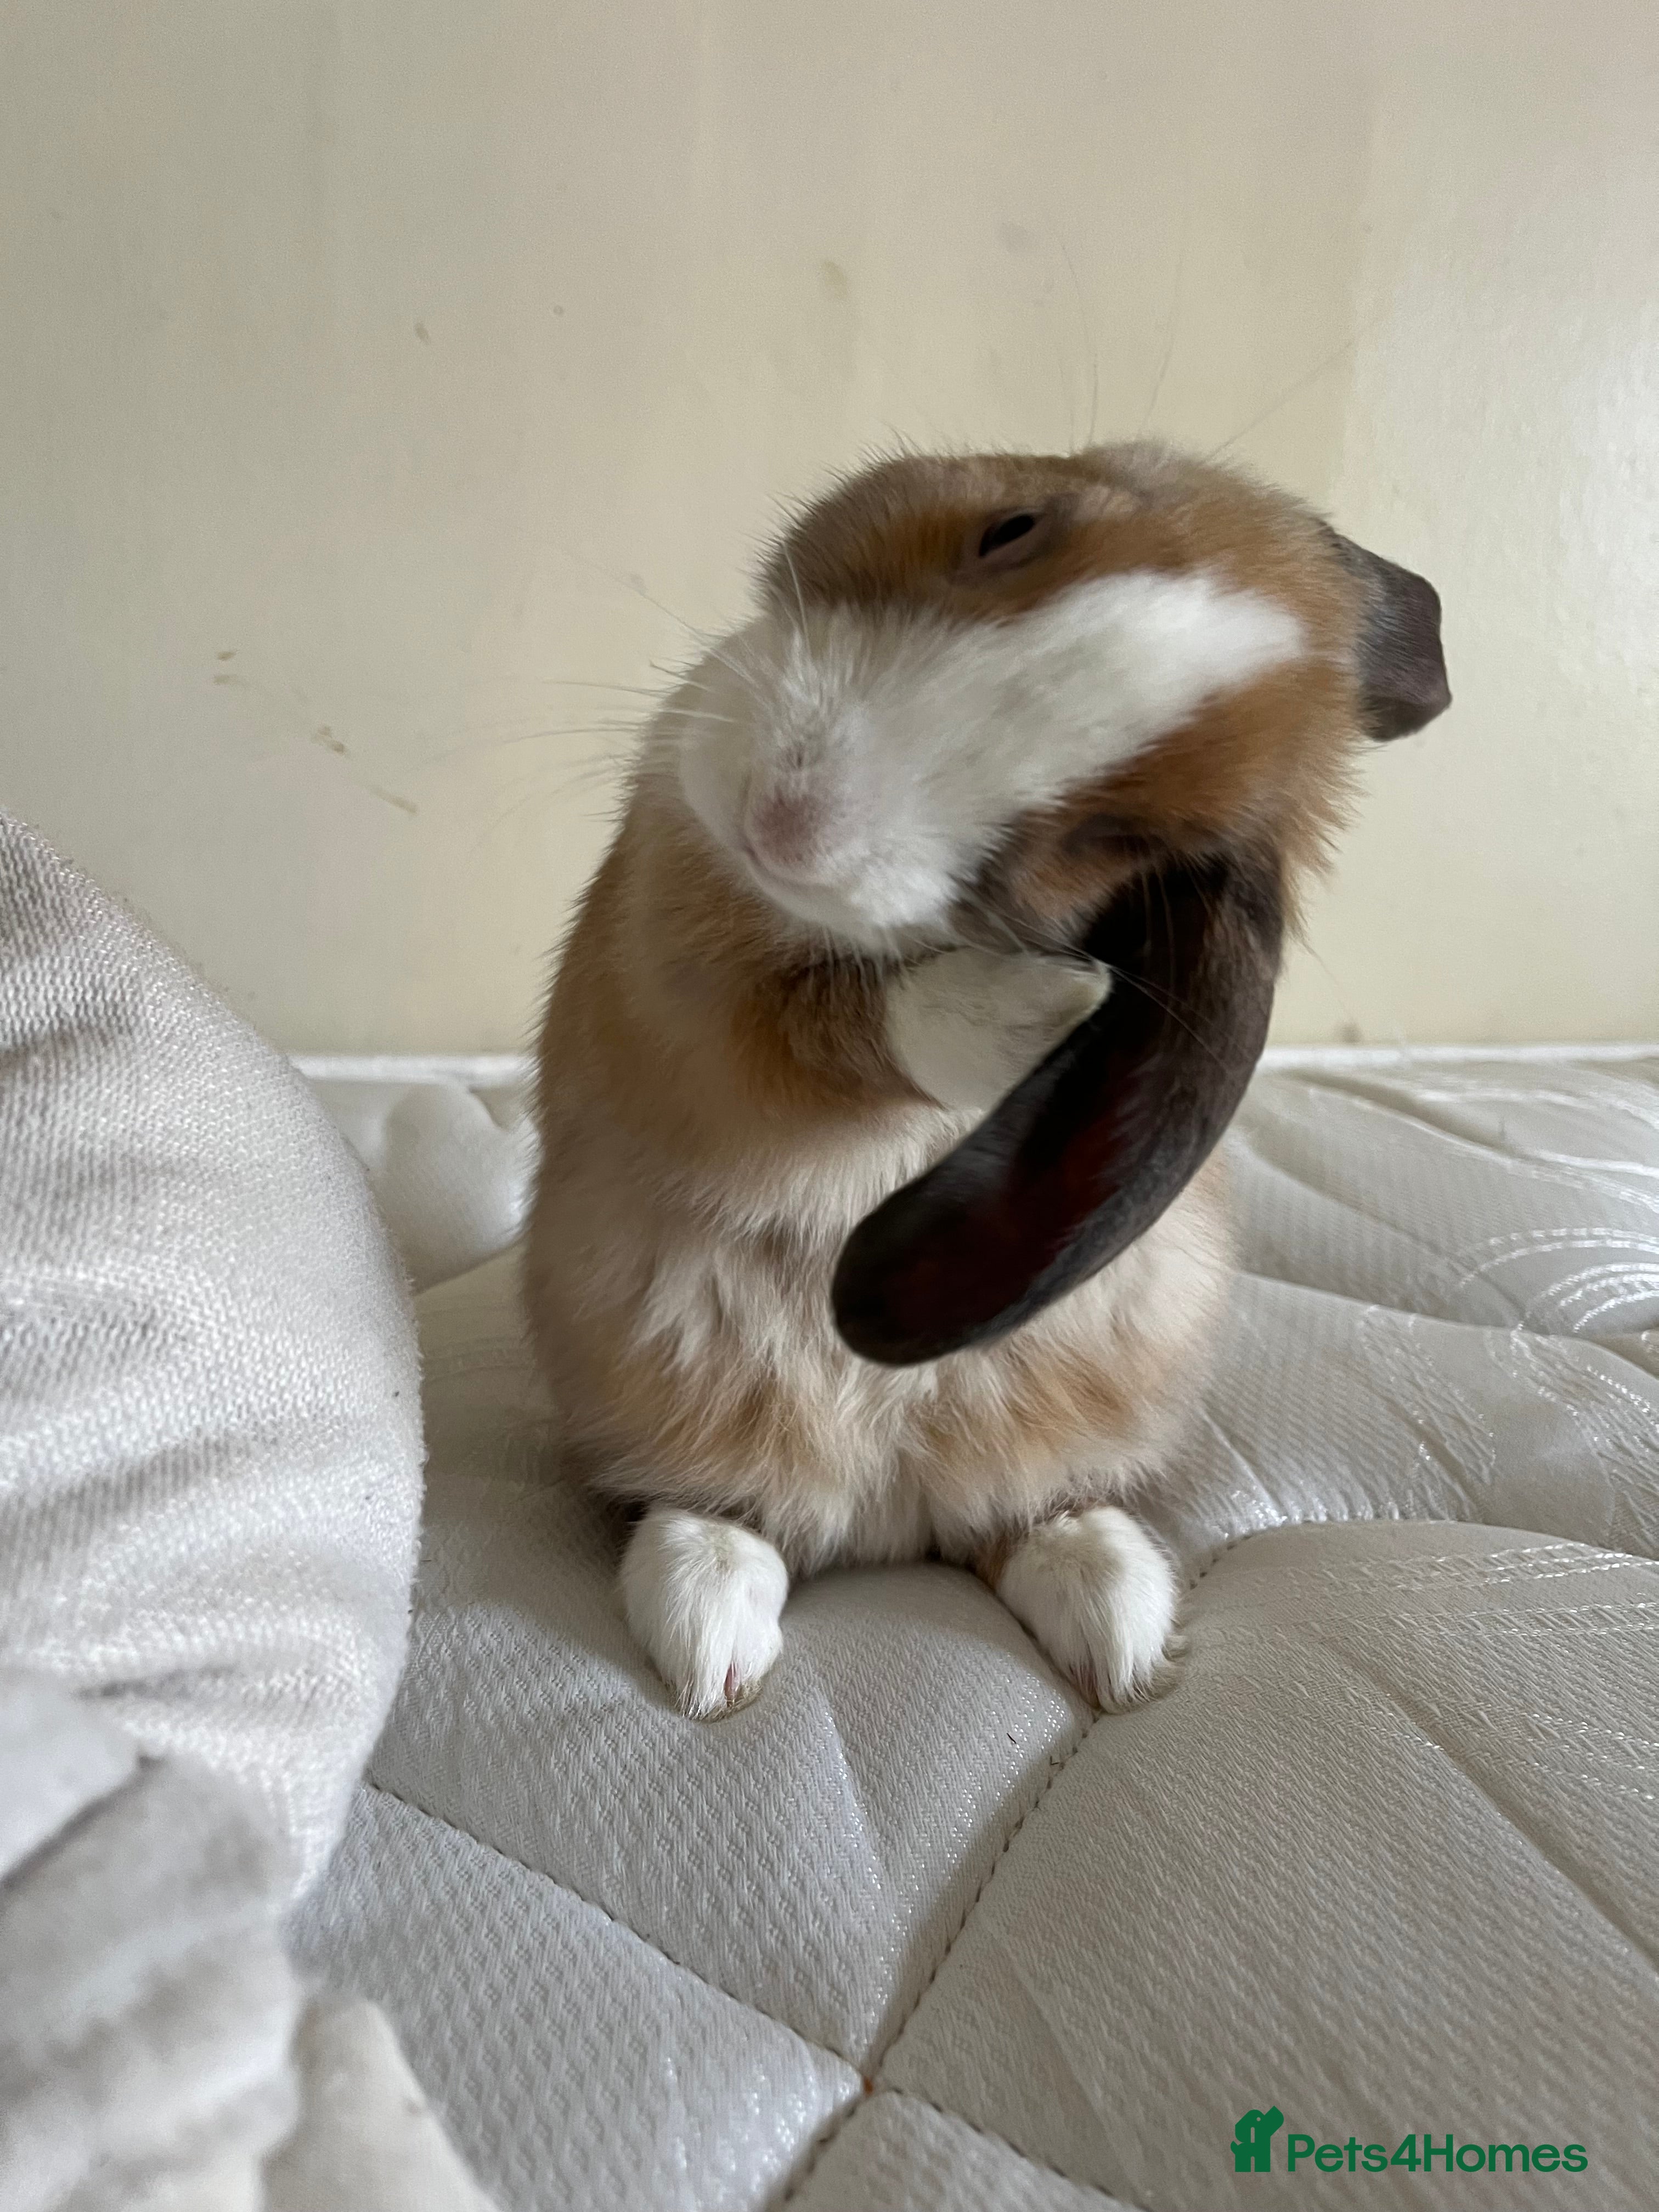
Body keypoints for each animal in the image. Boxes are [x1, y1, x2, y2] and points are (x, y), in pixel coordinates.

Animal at [526, 441, 1449, 1719]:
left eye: (1114, 838)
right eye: (1011, 527)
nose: (784, 821)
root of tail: (887, 1519)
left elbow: (856, 1024)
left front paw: (1072, 1006)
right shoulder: (681, 982)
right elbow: (846, 1025)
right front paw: (1057, 1009)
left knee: (1018, 1519)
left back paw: (1117, 1630)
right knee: (716, 1506)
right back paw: (708, 1637)